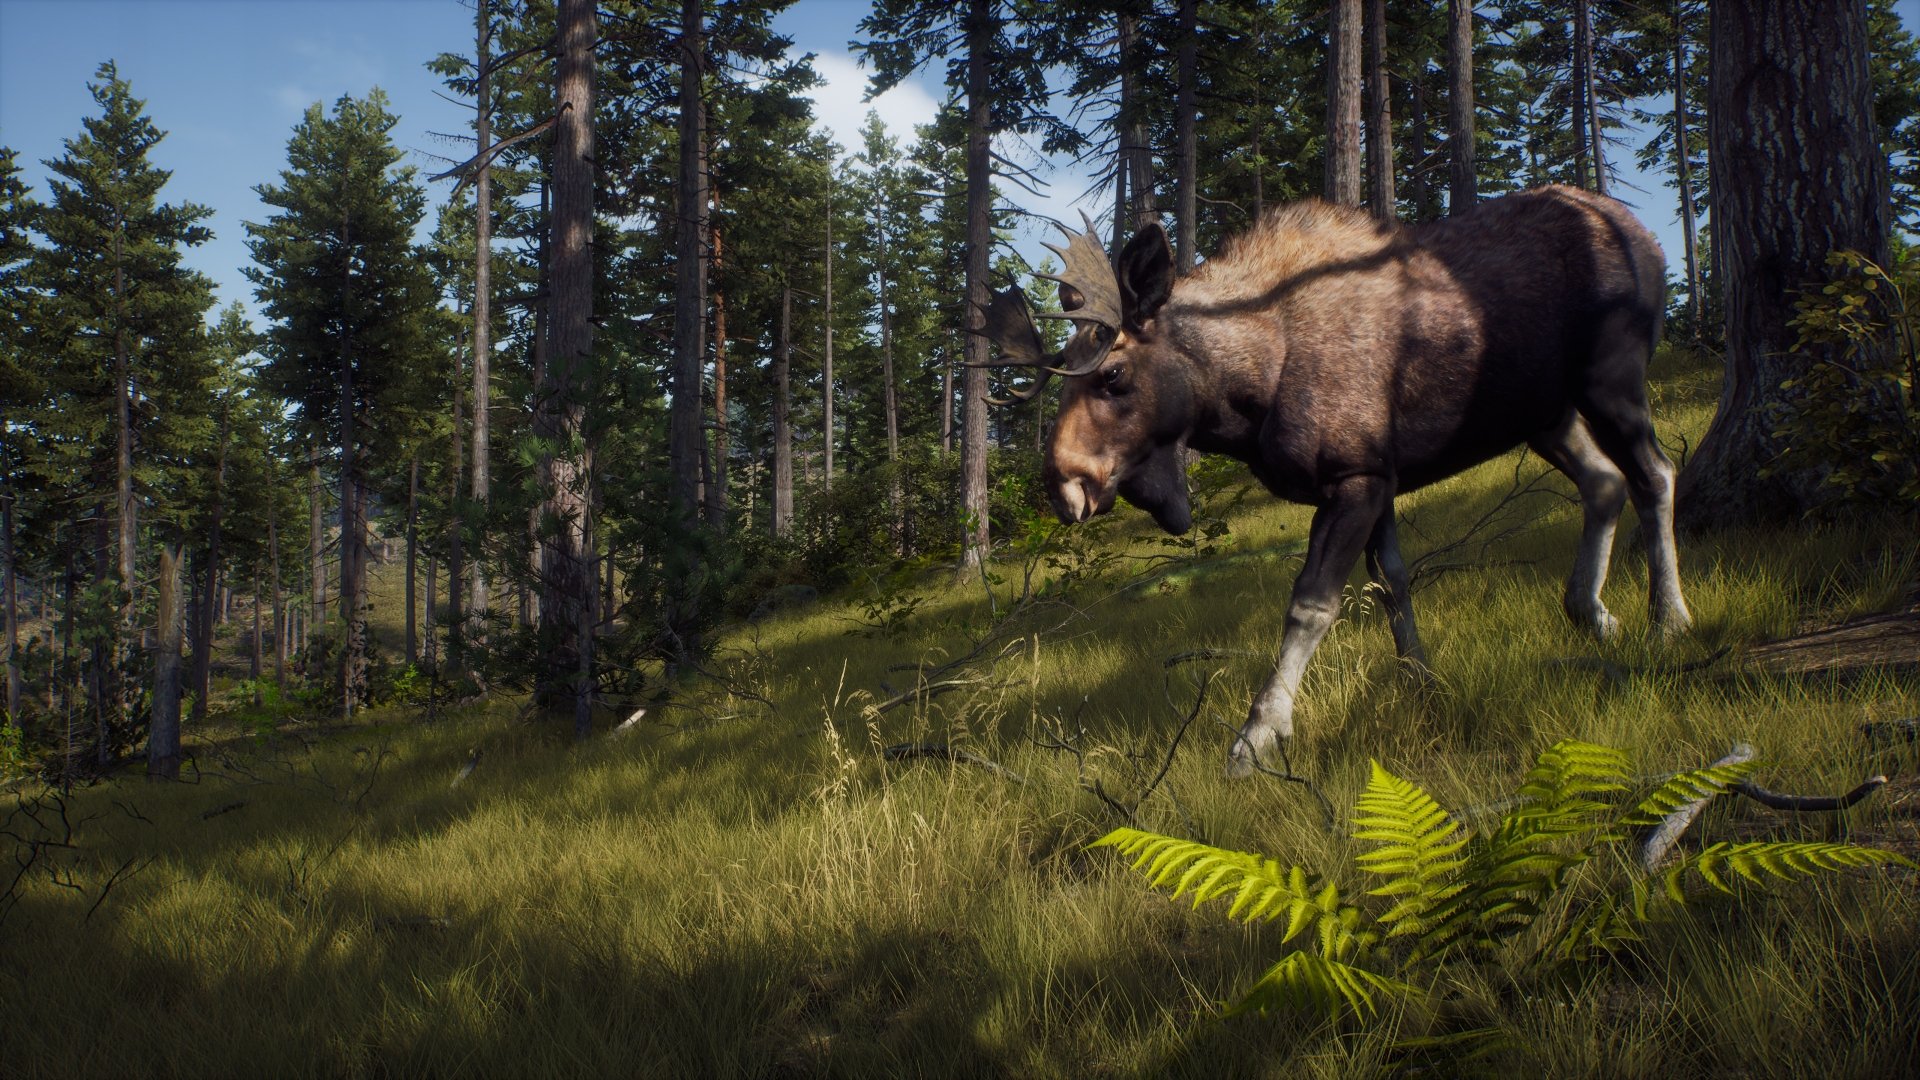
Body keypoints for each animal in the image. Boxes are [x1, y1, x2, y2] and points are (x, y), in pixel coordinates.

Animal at [977, 185, 1691, 777]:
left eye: (1112, 374)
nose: (1063, 484)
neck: (1247, 391)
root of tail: (1650, 238)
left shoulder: (1355, 477)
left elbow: (1312, 604)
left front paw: (1258, 736)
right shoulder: (1382, 478)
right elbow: (1392, 585)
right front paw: (1421, 683)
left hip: (1610, 380)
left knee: (1655, 475)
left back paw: (1668, 618)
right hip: (1546, 413)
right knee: (1604, 483)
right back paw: (1592, 611)